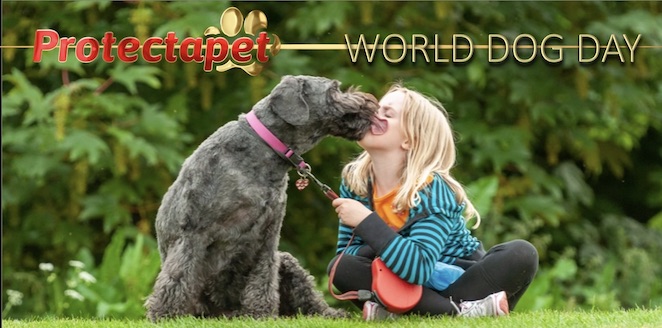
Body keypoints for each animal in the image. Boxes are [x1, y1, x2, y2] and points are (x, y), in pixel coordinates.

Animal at [147, 74, 382, 320]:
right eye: (334, 90)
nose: (371, 102)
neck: (263, 149)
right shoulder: (193, 233)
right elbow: (179, 275)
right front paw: (165, 313)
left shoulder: (268, 237)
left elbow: (263, 278)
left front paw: (261, 313)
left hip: (287, 262)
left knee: (309, 301)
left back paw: (330, 313)